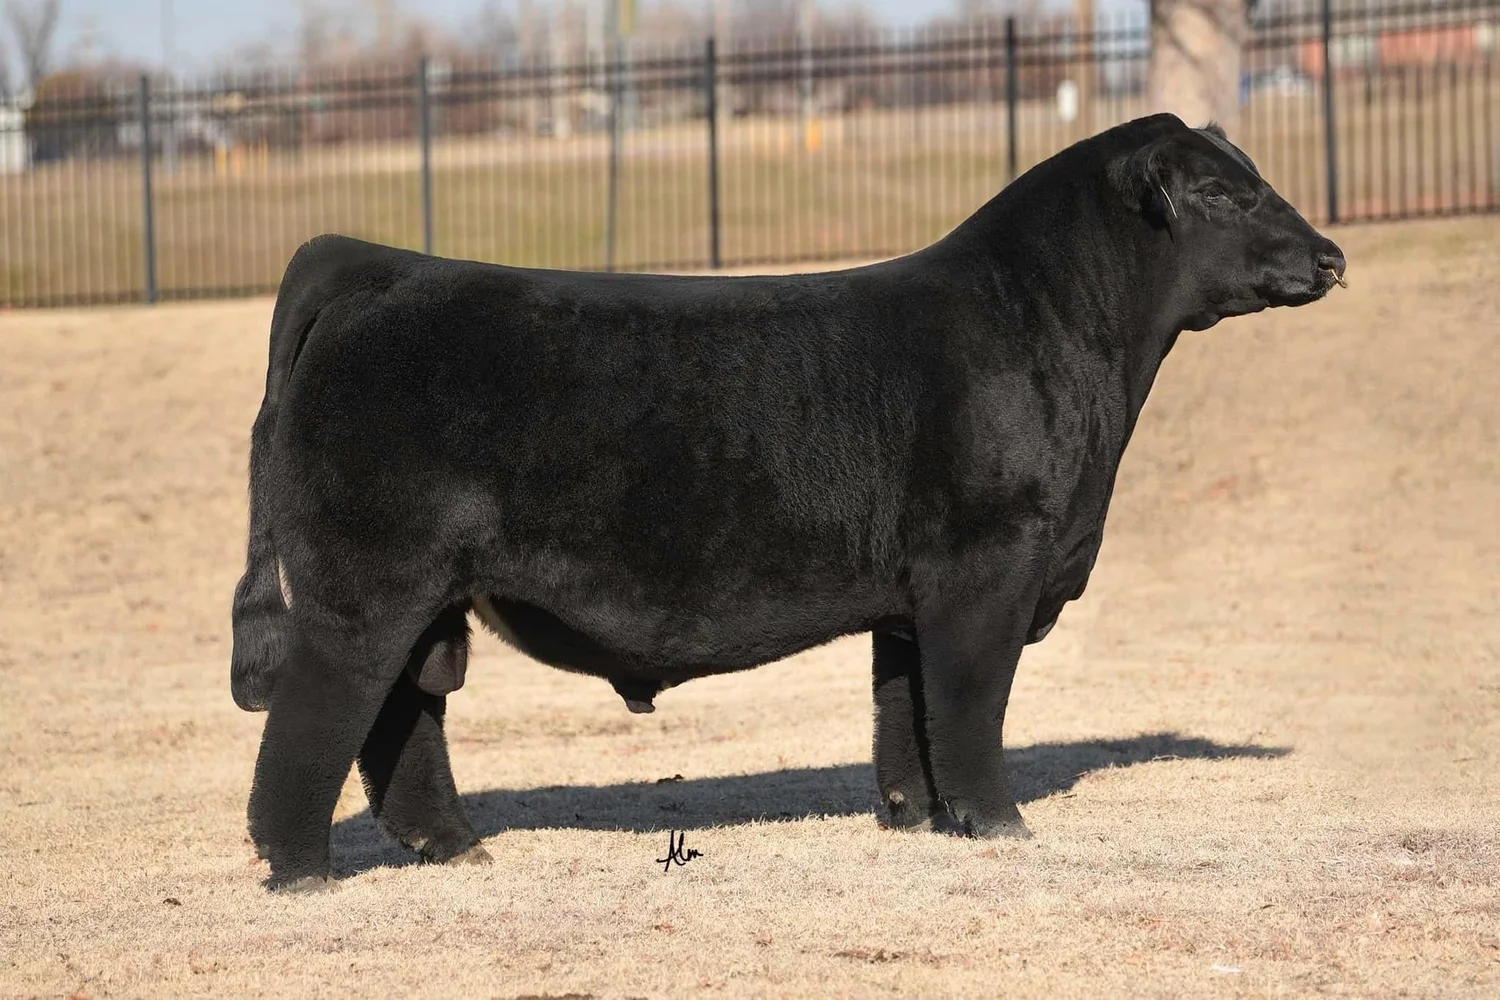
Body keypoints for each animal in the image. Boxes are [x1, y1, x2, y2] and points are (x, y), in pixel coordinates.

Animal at [231, 114, 1346, 892]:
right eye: (1224, 194)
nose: (1331, 256)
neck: (1063, 335)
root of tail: (375, 264)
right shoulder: (989, 565)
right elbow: (971, 704)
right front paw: (1000, 825)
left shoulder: (914, 594)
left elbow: (908, 713)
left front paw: (921, 820)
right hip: (365, 585)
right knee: (319, 714)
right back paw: (303, 871)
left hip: (424, 596)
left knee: (404, 711)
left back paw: (454, 848)